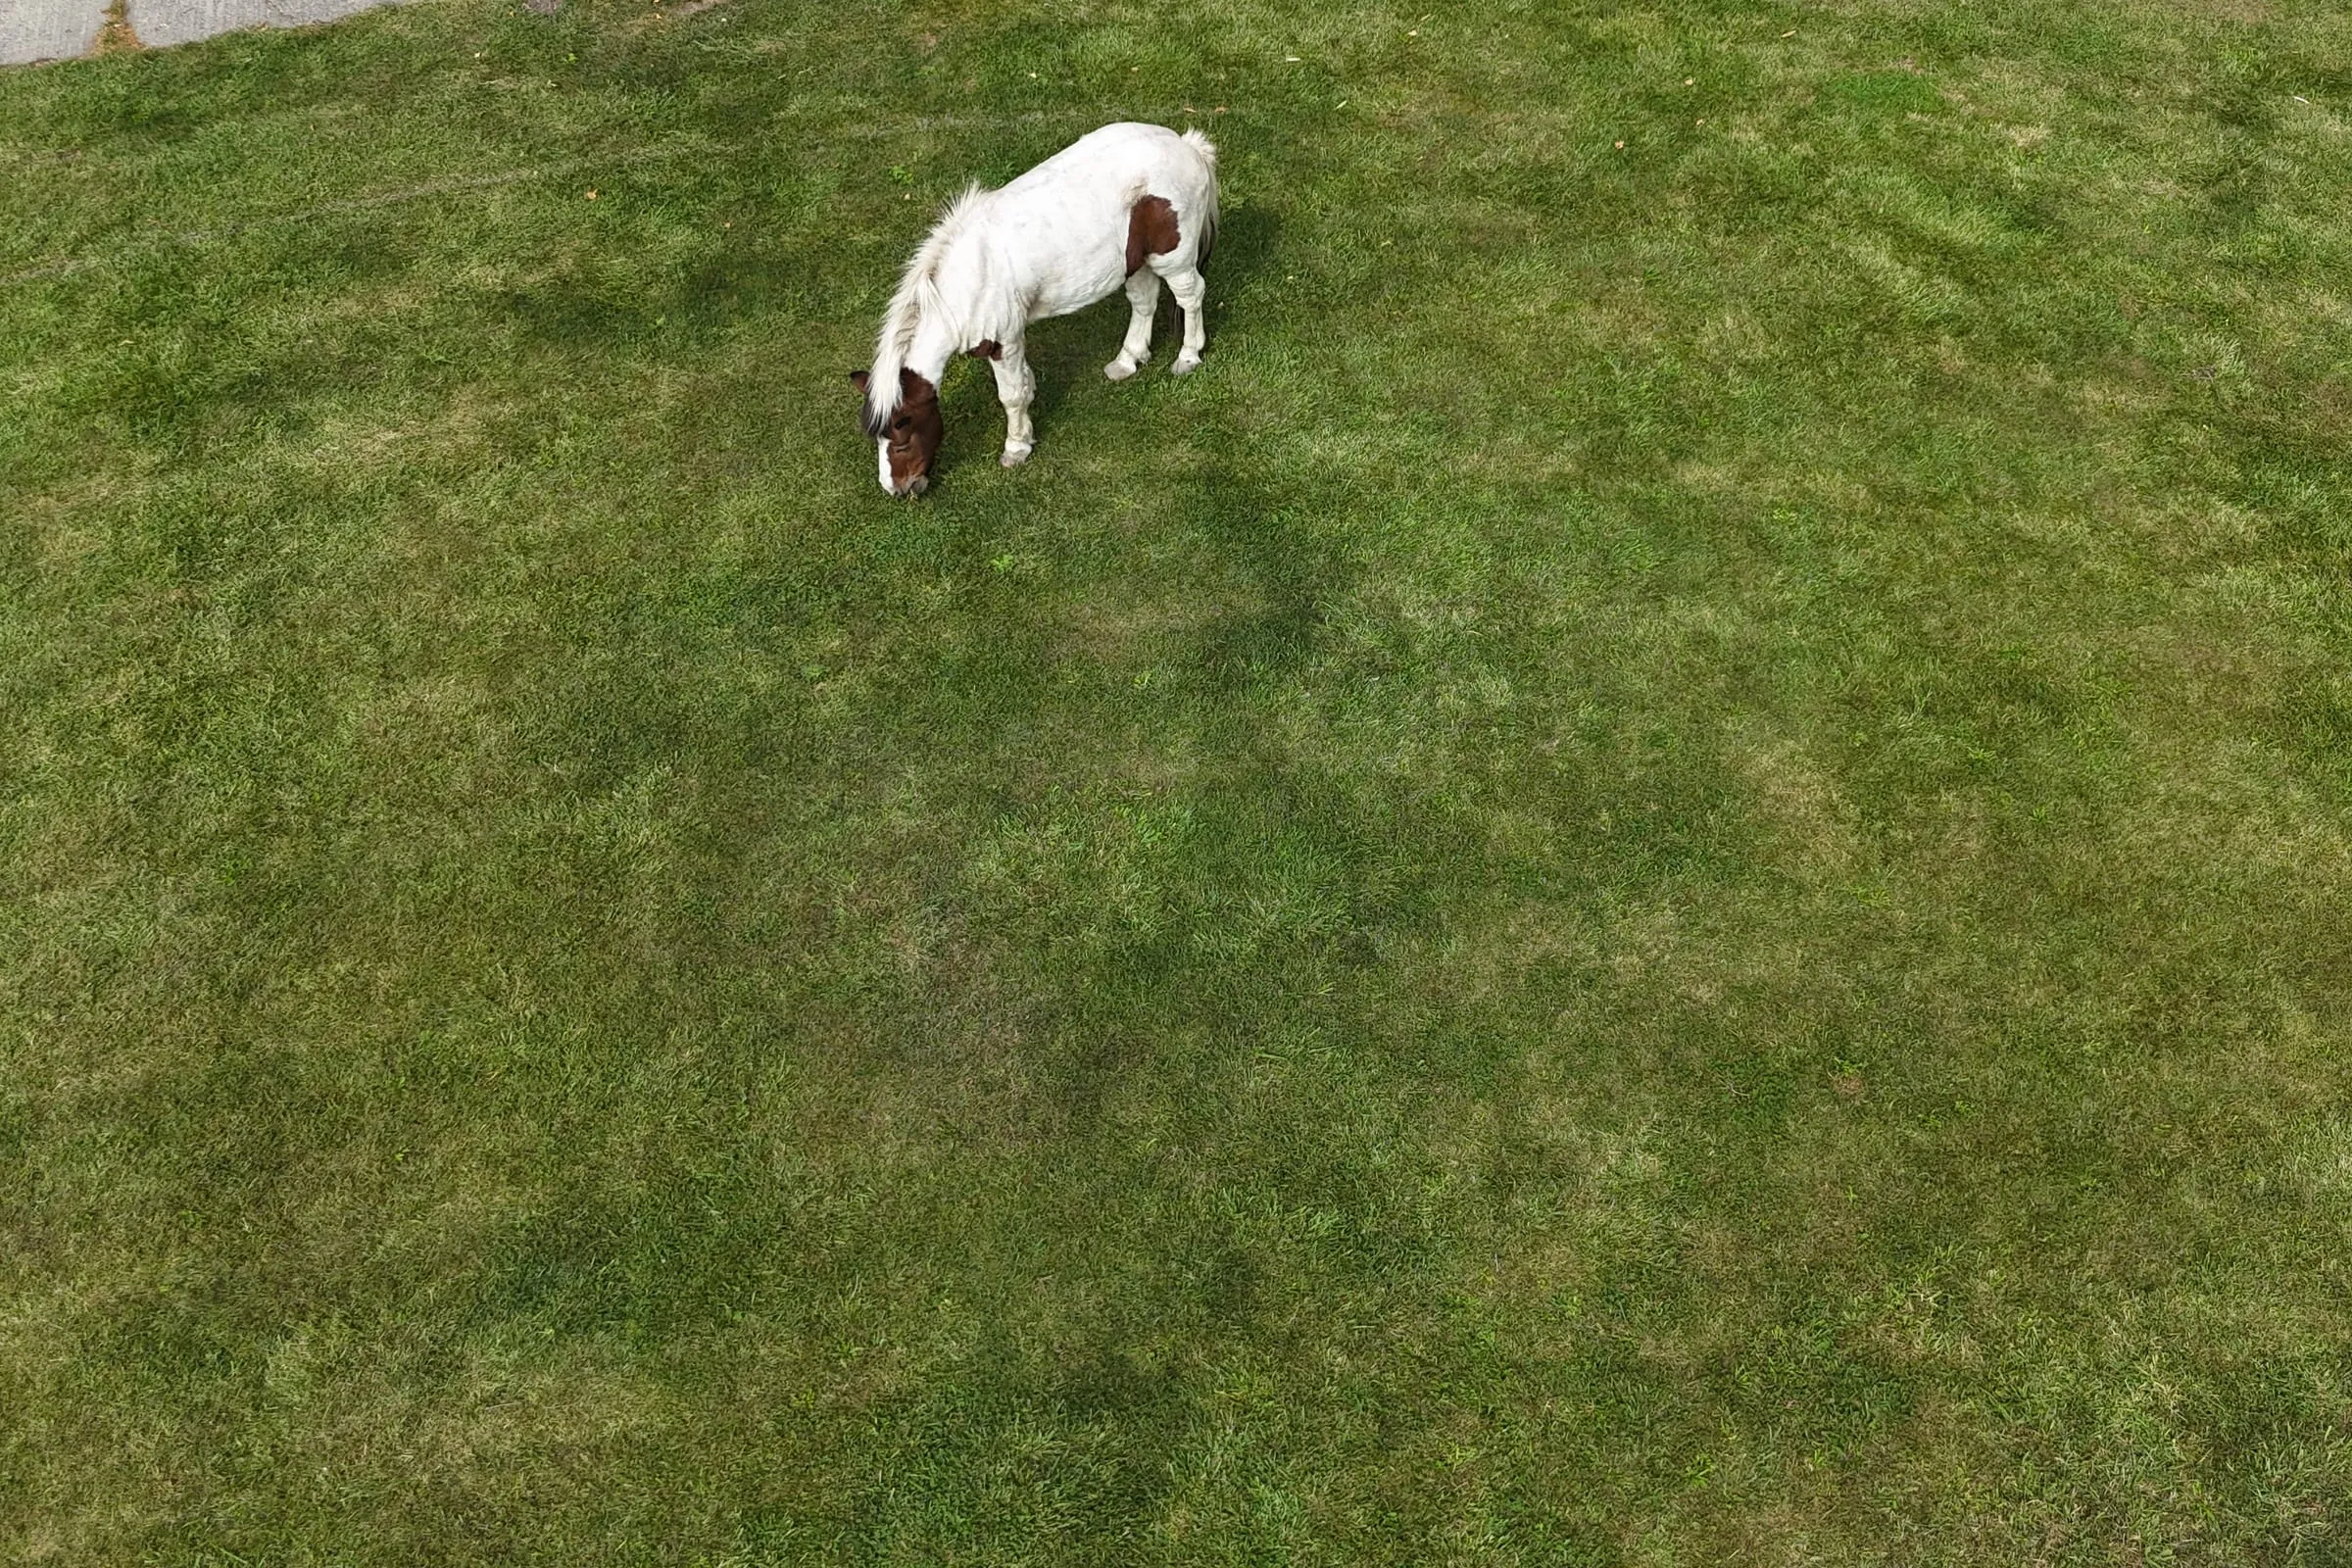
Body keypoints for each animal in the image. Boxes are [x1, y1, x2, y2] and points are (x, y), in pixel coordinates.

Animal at [849, 122, 1220, 496]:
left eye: (901, 436)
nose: (896, 489)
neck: (972, 275)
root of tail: (1186, 145)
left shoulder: (1003, 342)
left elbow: (1011, 395)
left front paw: (1016, 448)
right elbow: (1024, 383)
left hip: (1172, 260)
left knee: (1190, 296)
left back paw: (1188, 357)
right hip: (1136, 260)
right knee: (1144, 300)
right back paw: (1127, 361)